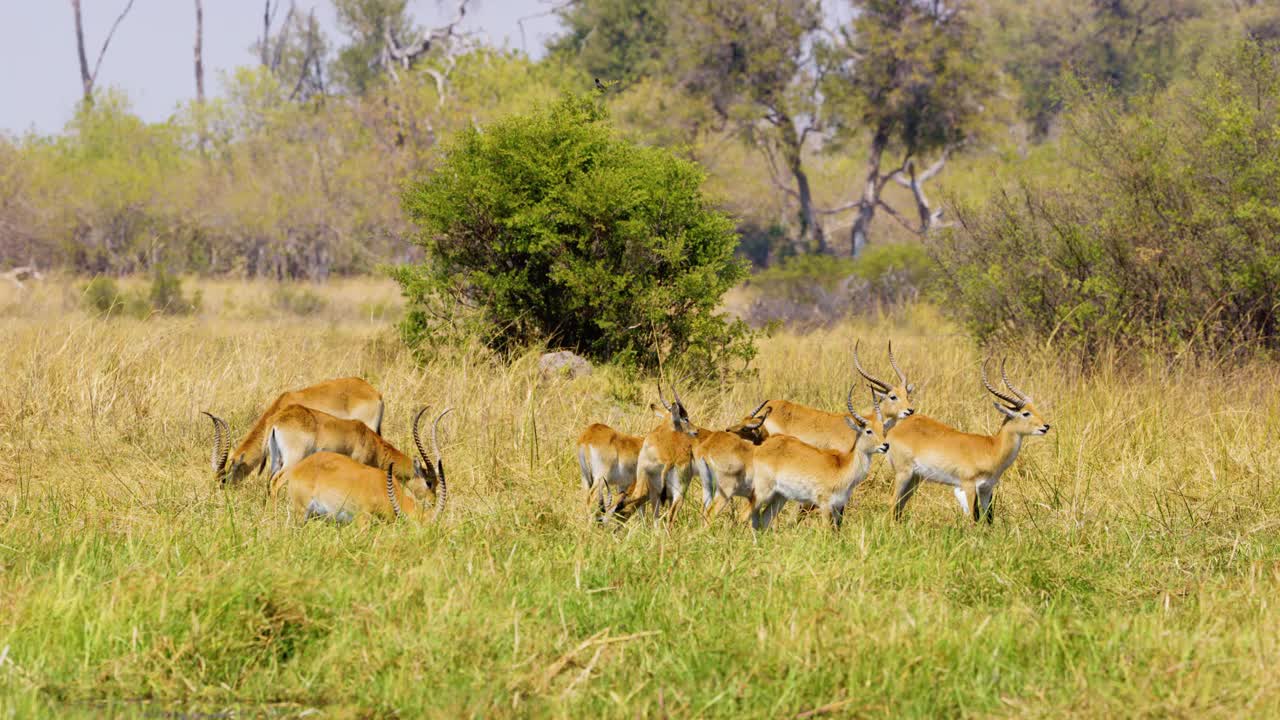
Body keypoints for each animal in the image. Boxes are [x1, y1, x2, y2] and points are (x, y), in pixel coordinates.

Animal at [747, 389, 890, 530]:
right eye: (868, 431)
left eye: (882, 429)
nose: (885, 445)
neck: (843, 467)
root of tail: (761, 447)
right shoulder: (825, 505)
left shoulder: (838, 506)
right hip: (762, 492)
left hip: (778, 496)